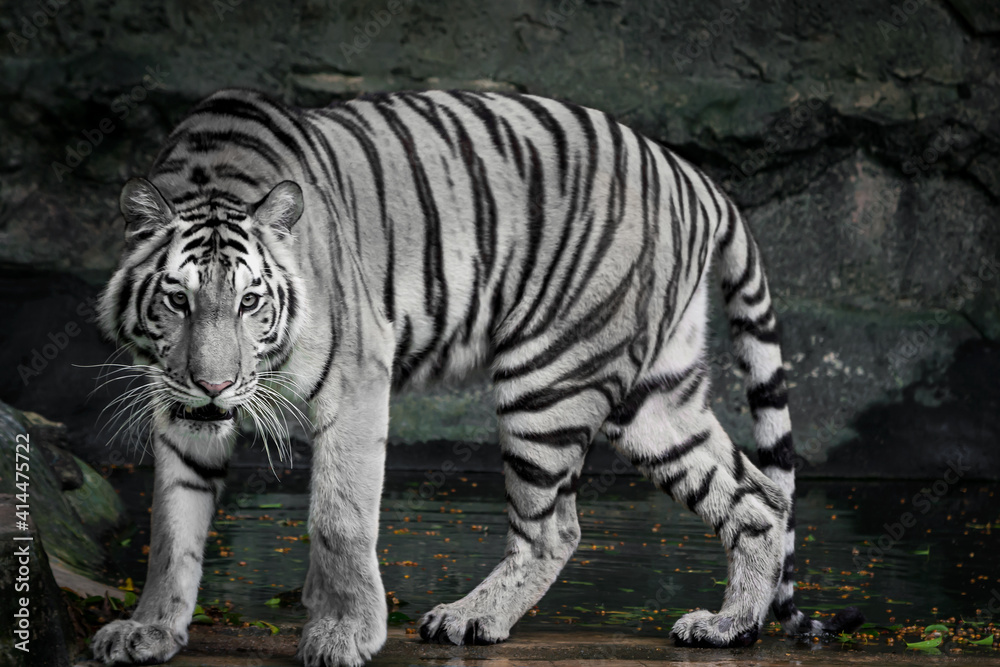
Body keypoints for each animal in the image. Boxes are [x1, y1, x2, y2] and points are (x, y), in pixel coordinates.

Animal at [90, 87, 863, 666]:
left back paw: (469, 617)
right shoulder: (175, 406)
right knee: (758, 494)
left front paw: (346, 634)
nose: (215, 386)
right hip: (653, 401)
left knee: (555, 529)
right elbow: (172, 523)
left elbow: (340, 516)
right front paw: (150, 629)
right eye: (177, 300)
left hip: (548, 377)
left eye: (250, 302)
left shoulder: (357, 378)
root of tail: (694, 176)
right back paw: (731, 626)